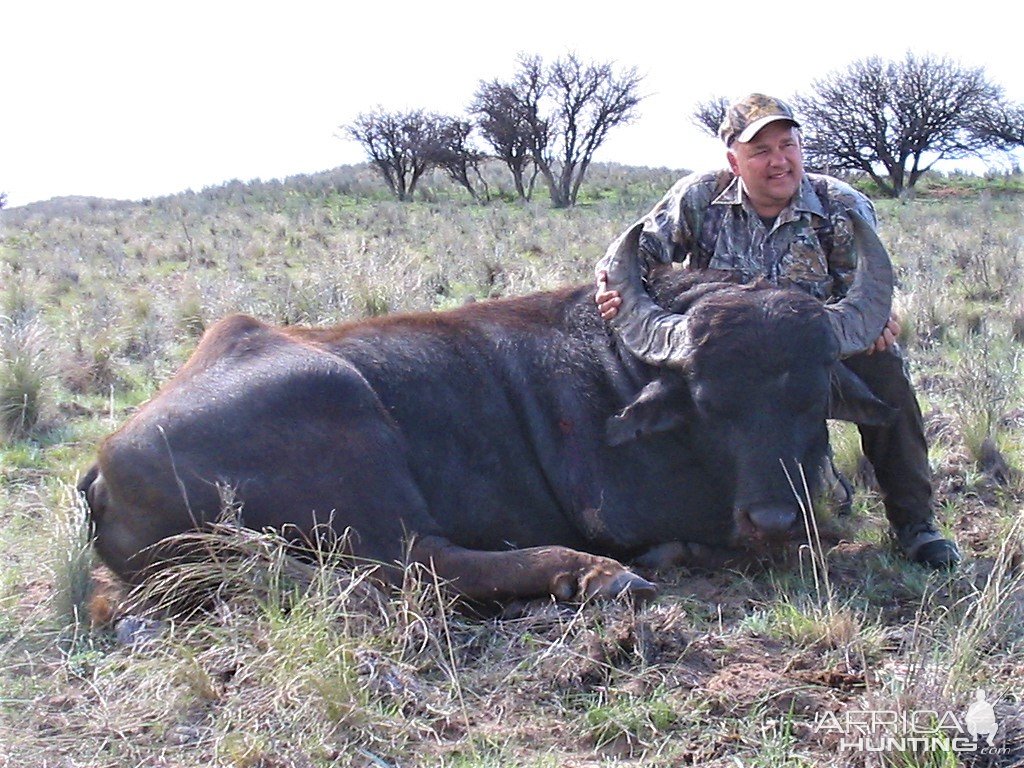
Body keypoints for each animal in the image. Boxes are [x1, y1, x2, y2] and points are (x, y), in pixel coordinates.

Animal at [77, 214, 897, 606]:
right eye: (708, 400)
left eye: (811, 395)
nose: (773, 518)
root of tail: (106, 463)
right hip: (355, 440)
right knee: (418, 566)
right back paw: (595, 575)